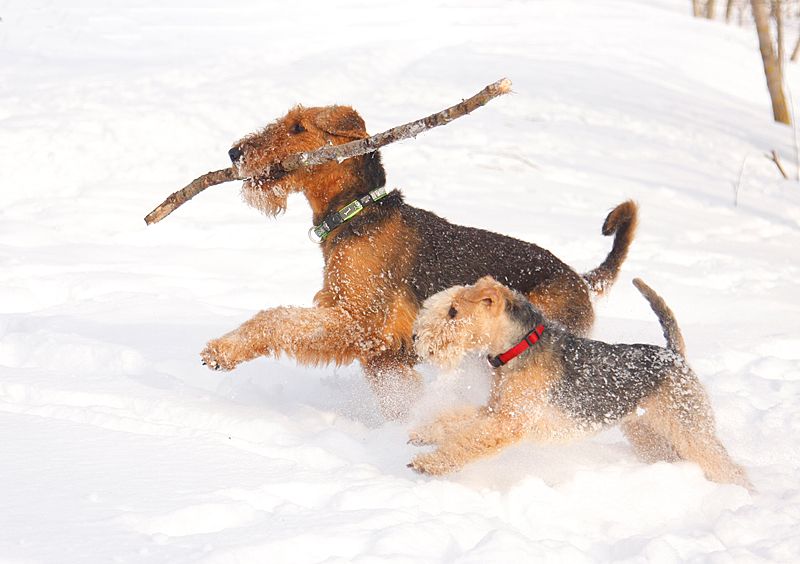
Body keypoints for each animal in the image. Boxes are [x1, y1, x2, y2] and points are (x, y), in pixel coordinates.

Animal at [200, 103, 636, 416]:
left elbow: (275, 319)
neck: (357, 213)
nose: (235, 152)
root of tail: (581, 279)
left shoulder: (361, 322)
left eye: (297, 127)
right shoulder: (381, 351)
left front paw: (222, 350)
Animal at [410, 274, 752, 490]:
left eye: (453, 311)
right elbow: (457, 421)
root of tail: (674, 354)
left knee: (730, 468)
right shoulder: (497, 410)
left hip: (690, 428)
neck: (519, 346)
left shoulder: (509, 421)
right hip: (648, 433)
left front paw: (429, 463)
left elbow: (469, 441)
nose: (415, 337)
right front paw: (423, 433)